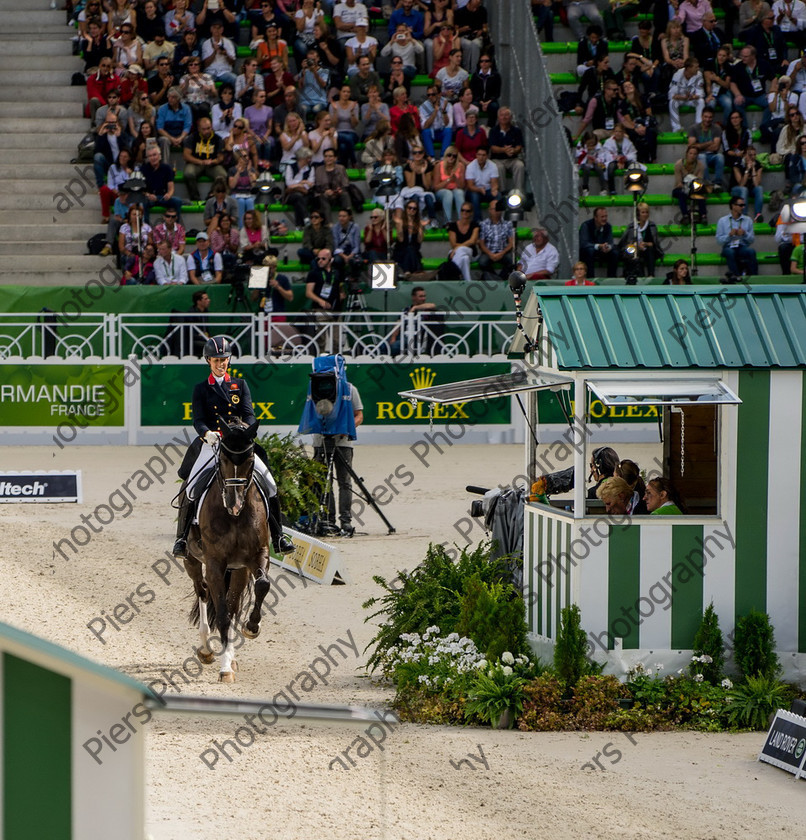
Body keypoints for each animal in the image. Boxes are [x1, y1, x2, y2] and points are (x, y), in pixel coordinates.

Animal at [185, 420, 274, 684]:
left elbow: (262, 585)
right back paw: (206, 650)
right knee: (203, 592)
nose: (234, 505)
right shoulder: (215, 563)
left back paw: (231, 654)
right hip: (192, 560)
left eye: (250, 459)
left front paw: (252, 627)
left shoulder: (257, 556)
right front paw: (224, 668)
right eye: (223, 459)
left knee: (234, 607)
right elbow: (222, 614)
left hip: (239, 570)